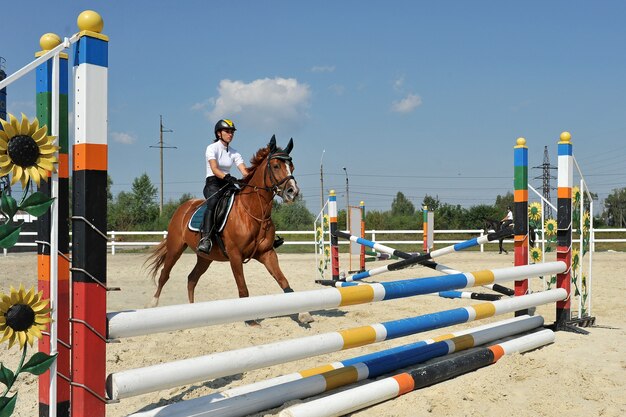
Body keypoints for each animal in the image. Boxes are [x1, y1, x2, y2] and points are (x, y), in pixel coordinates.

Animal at [145, 136, 312, 324]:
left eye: (292, 167)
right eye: (276, 166)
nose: (293, 192)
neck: (252, 212)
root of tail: (183, 208)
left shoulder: (267, 253)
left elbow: (284, 282)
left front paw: (303, 313)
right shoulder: (235, 255)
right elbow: (243, 289)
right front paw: (250, 321)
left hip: (205, 257)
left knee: (192, 279)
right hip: (175, 248)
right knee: (164, 275)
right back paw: (152, 304)